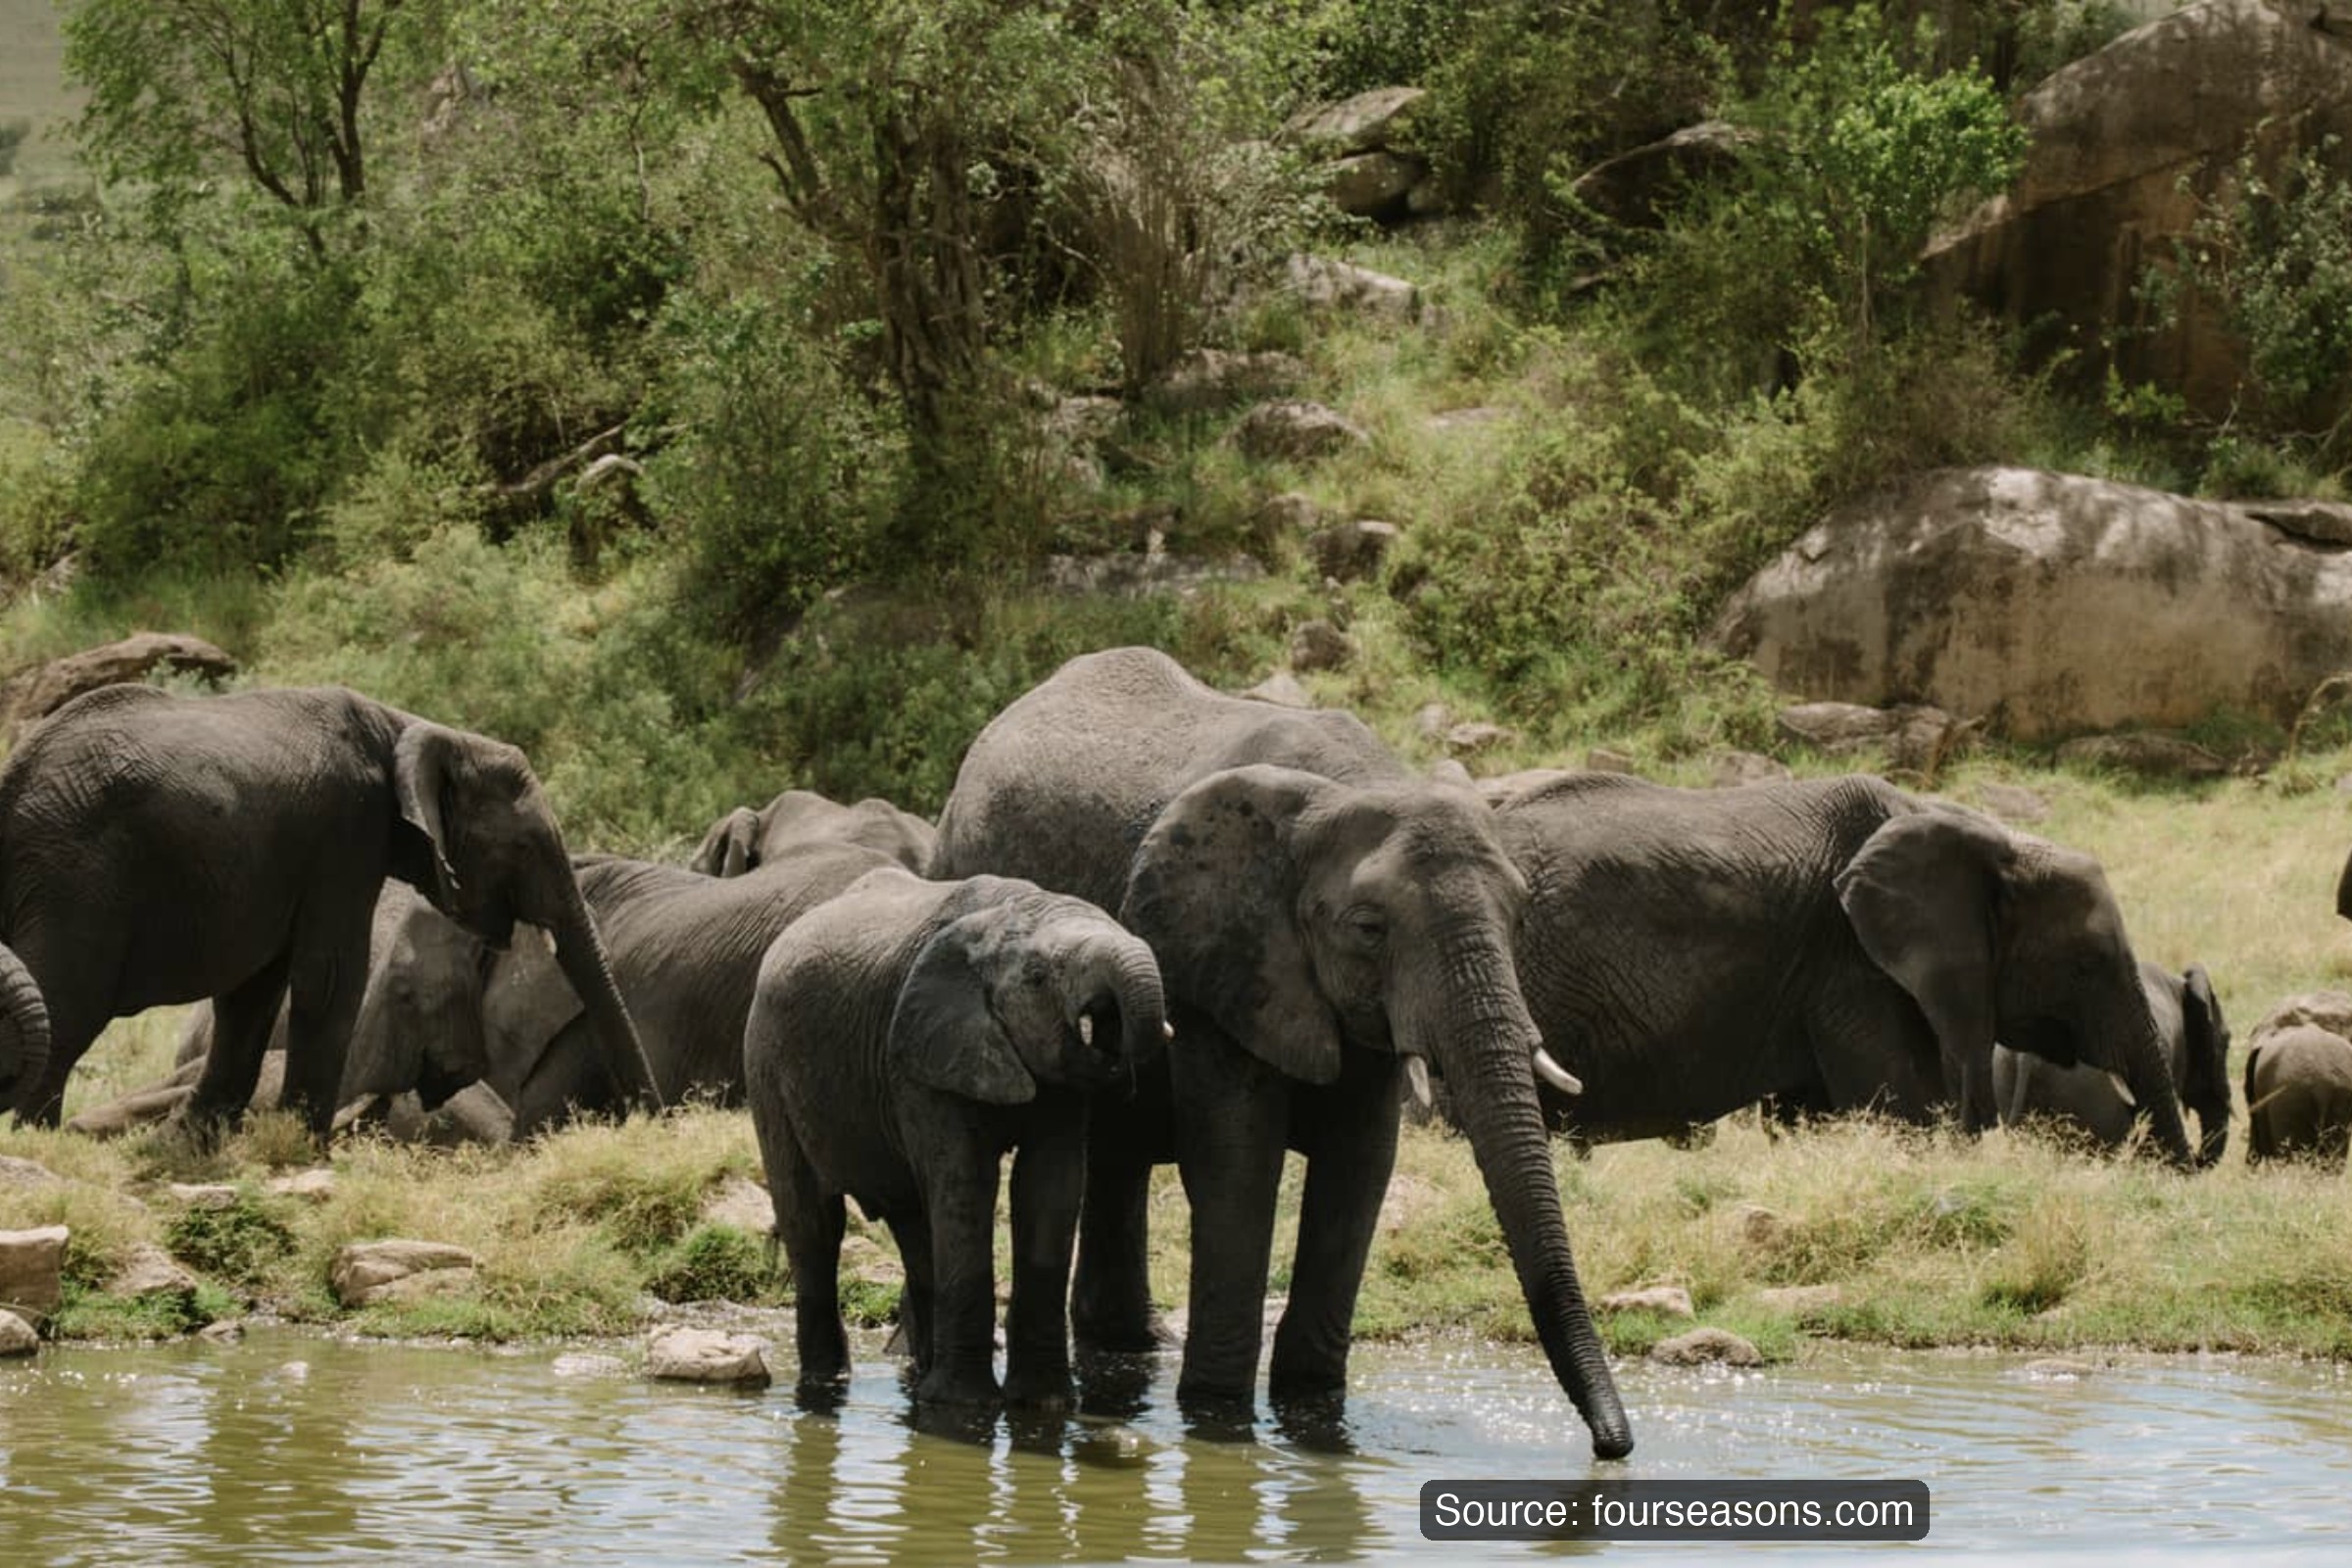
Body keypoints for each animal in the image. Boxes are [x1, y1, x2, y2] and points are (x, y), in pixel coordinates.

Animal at [0, 683, 655, 1136]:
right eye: (524, 847)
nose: (650, 1119)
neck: (409, 726)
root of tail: (14, 777)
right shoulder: (347, 832)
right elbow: (329, 976)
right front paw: (302, 1146)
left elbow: (256, 989)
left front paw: (200, 1140)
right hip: (79, 877)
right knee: (68, 1005)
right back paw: (37, 1141)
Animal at [744, 866, 1168, 1408]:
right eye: (1038, 977)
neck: (1010, 914)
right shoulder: (921, 1058)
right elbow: (966, 1178)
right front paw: (964, 1407)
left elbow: (1049, 1187)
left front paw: (1044, 1404)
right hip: (766, 1066)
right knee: (814, 1223)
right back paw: (827, 1385)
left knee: (912, 1220)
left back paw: (920, 1377)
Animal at [930, 647, 1633, 1459]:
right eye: (1369, 929)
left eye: (1518, 914)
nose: (1613, 1446)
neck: (1349, 788)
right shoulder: (1219, 959)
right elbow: (1238, 1160)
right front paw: (1218, 1416)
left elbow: (1361, 1164)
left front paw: (1314, 1411)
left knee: (1117, 1153)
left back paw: (1132, 1345)